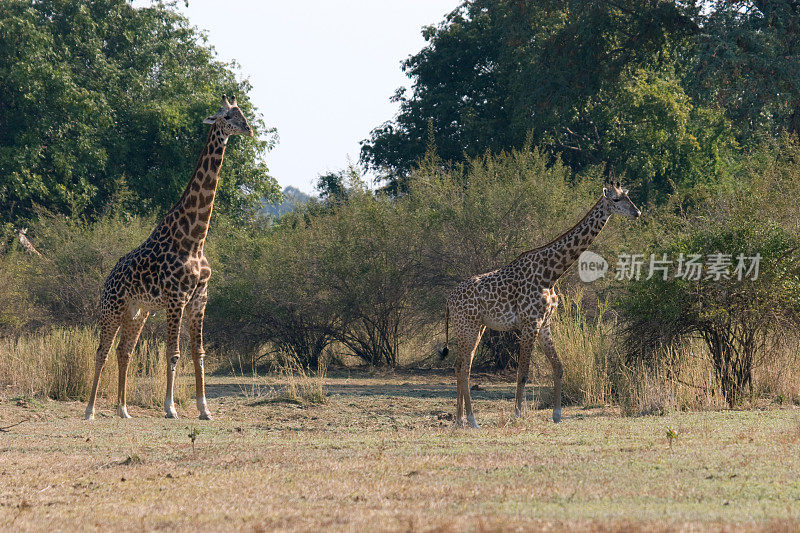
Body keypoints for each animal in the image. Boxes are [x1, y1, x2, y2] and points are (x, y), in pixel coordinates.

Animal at [85, 94, 253, 420]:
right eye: (227, 116)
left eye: (242, 114)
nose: (248, 130)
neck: (195, 239)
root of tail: (108, 277)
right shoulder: (176, 298)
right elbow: (173, 353)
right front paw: (170, 408)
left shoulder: (199, 299)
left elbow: (198, 354)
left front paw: (204, 409)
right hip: (112, 308)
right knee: (102, 351)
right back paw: (90, 410)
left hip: (137, 312)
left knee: (124, 351)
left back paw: (123, 410)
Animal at [440, 177, 640, 426]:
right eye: (615, 199)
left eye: (628, 197)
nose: (637, 212)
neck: (551, 273)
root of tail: (448, 300)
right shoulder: (530, 323)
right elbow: (523, 372)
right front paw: (518, 414)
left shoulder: (545, 323)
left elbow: (558, 367)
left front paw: (557, 415)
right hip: (468, 326)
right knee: (465, 369)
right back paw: (472, 420)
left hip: (475, 327)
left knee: (459, 366)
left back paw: (459, 420)